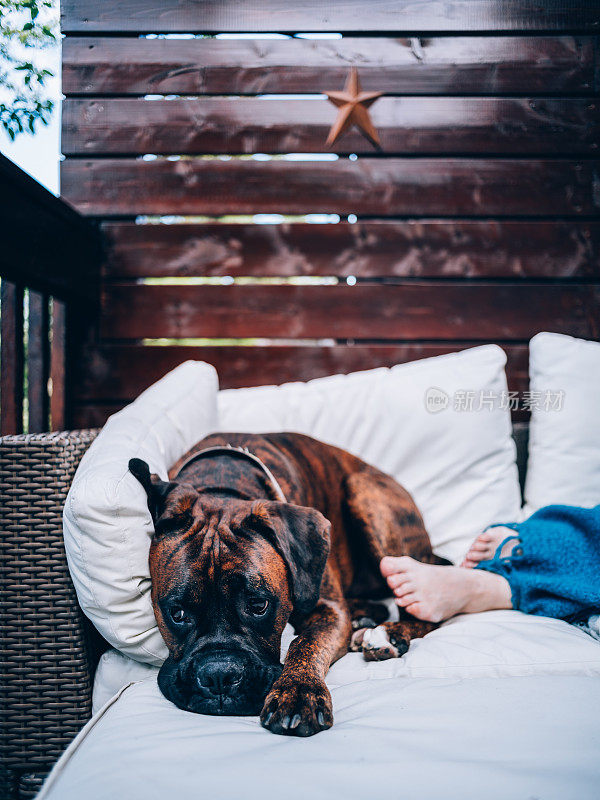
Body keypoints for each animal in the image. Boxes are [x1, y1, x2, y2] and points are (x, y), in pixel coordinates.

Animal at [132, 432, 450, 736]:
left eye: (259, 605)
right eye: (177, 613)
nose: (220, 675)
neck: (222, 486)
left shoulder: (328, 608)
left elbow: (305, 642)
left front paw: (298, 693)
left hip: (365, 496)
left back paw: (388, 634)